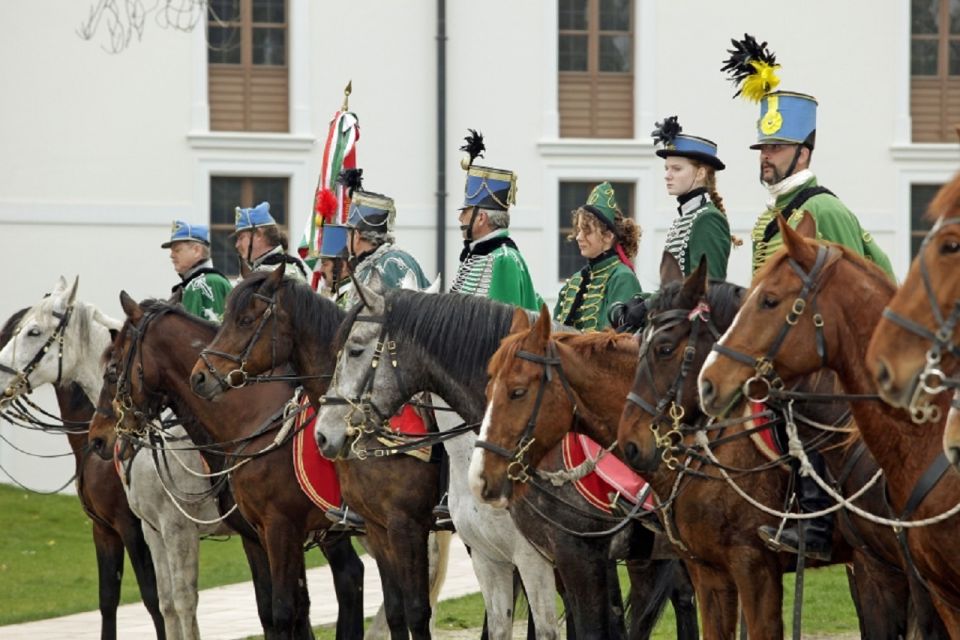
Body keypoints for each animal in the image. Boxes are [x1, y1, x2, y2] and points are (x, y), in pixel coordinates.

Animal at [86, 292, 368, 640]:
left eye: (112, 369)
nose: (97, 438)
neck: (255, 418)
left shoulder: (266, 529)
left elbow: (276, 610)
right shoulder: (253, 537)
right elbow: (273, 610)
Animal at [186, 270, 532, 640]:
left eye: (245, 320)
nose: (200, 376)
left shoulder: (398, 526)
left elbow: (414, 610)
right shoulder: (373, 528)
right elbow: (394, 609)